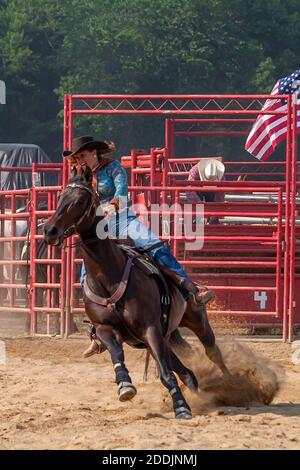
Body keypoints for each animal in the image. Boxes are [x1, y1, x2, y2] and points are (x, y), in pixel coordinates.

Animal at [43, 167, 229, 420]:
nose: (49, 230)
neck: (108, 276)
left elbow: (166, 374)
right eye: (61, 196)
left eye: (80, 200)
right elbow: (117, 355)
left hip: (195, 321)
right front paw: (125, 385)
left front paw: (181, 408)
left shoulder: (150, 328)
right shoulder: (105, 329)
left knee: (211, 351)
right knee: (187, 371)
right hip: (166, 337)